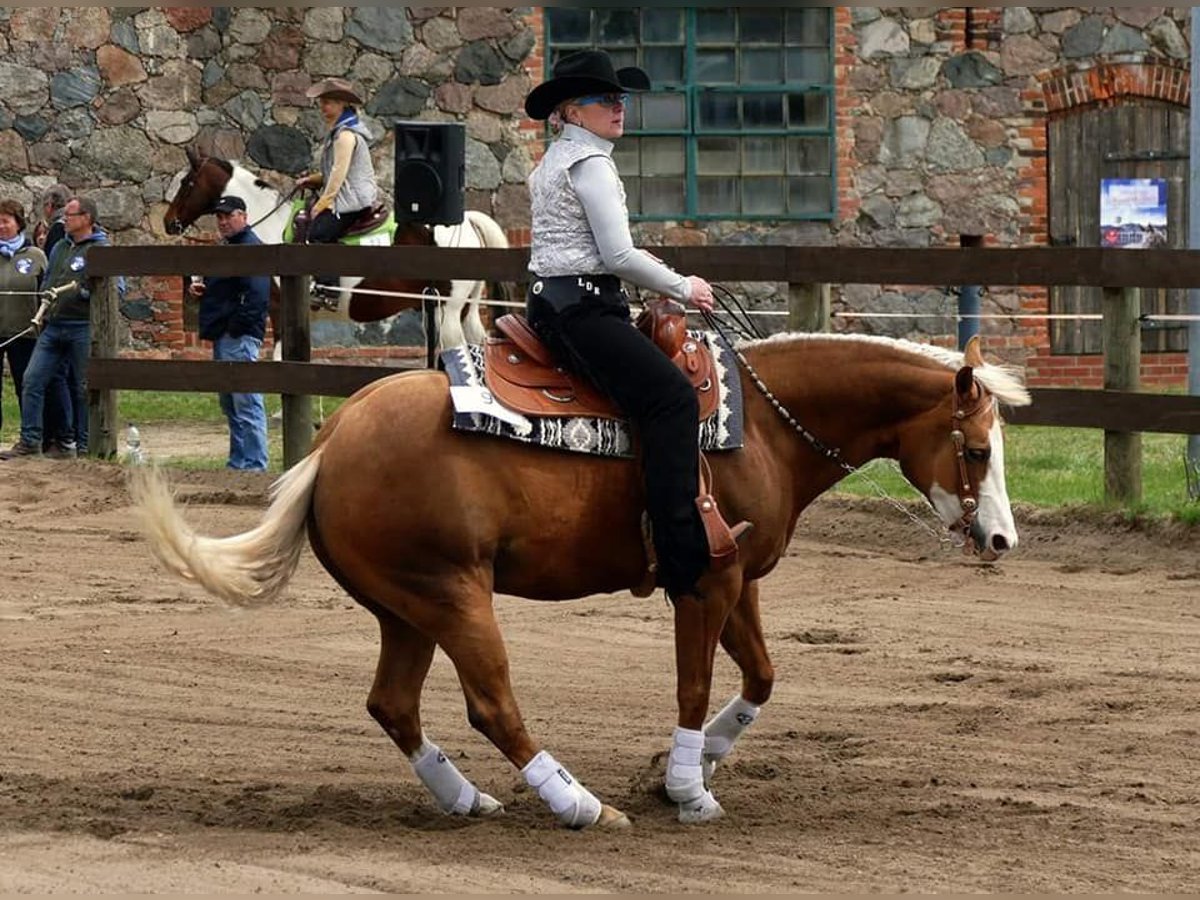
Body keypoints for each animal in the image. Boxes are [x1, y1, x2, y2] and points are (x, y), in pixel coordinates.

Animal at [131, 333, 1032, 830]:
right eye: (977, 448)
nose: (1000, 538)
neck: (762, 428)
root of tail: (331, 442)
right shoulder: (703, 583)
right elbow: (694, 686)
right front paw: (687, 789)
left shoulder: (740, 580)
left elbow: (762, 677)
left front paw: (692, 768)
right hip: (455, 597)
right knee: (492, 705)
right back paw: (580, 806)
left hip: (408, 609)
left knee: (393, 705)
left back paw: (467, 800)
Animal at [162, 151, 508, 352]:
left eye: (187, 182)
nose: (168, 222)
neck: (271, 228)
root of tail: (467, 223)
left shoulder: (278, 308)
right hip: (458, 309)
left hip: (447, 311)